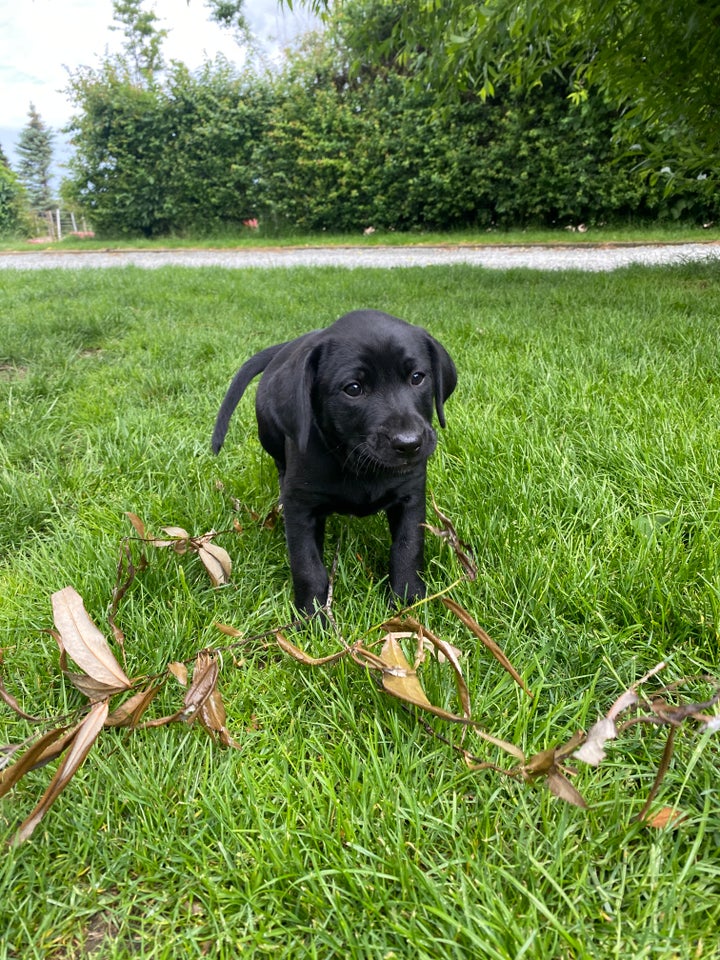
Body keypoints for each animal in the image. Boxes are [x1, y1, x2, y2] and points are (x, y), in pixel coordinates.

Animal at [211, 310, 456, 616]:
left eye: (417, 377)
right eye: (353, 389)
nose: (409, 443)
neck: (356, 461)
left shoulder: (410, 494)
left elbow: (408, 547)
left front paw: (408, 602)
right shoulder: (300, 505)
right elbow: (307, 564)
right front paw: (311, 616)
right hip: (270, 435)